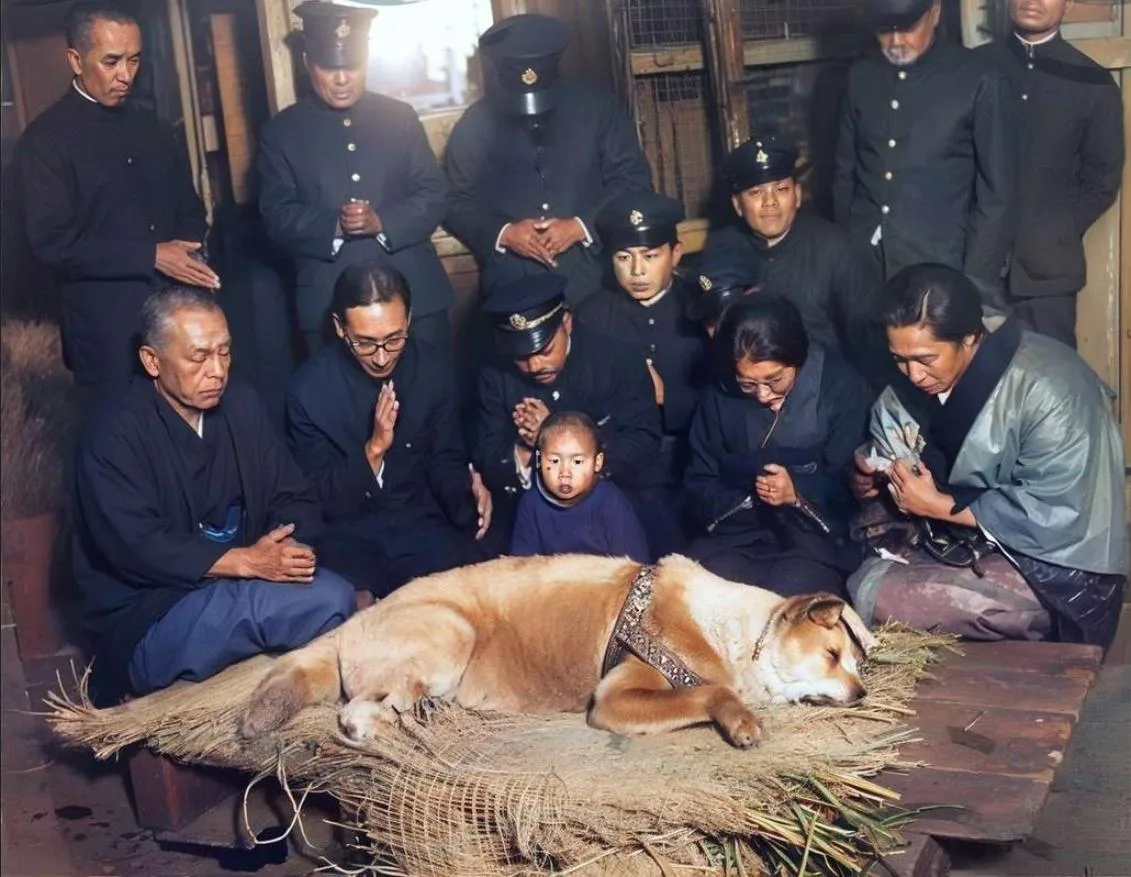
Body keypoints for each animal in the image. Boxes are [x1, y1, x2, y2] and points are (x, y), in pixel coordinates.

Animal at [240, 556, 873, 746]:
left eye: (853, 660)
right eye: (831, 655)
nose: (863, 693)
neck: (737, 634)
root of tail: (353, 622)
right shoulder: (616, 698)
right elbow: (710, 691)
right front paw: (740, 720)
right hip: (450, 632)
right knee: (354, 712)